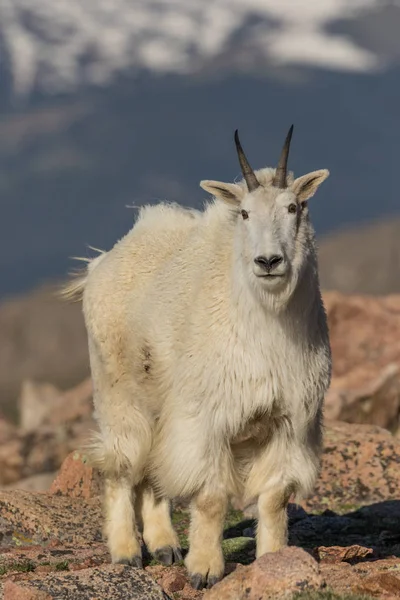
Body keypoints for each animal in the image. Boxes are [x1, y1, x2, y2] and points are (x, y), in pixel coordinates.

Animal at [63, 124, 332, 588]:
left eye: (294, 207)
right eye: (244, 213)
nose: (268, 261)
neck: (267, 327)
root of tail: (102, 262)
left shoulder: (290, 423)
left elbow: (274, 497)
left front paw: (275, 560)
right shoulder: (207, 418)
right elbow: (210, 497)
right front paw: (205, 569)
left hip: (161, 401)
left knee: (153, 470)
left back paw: (165, 546)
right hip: (118, 391)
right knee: (121, 465)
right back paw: (126, 552)